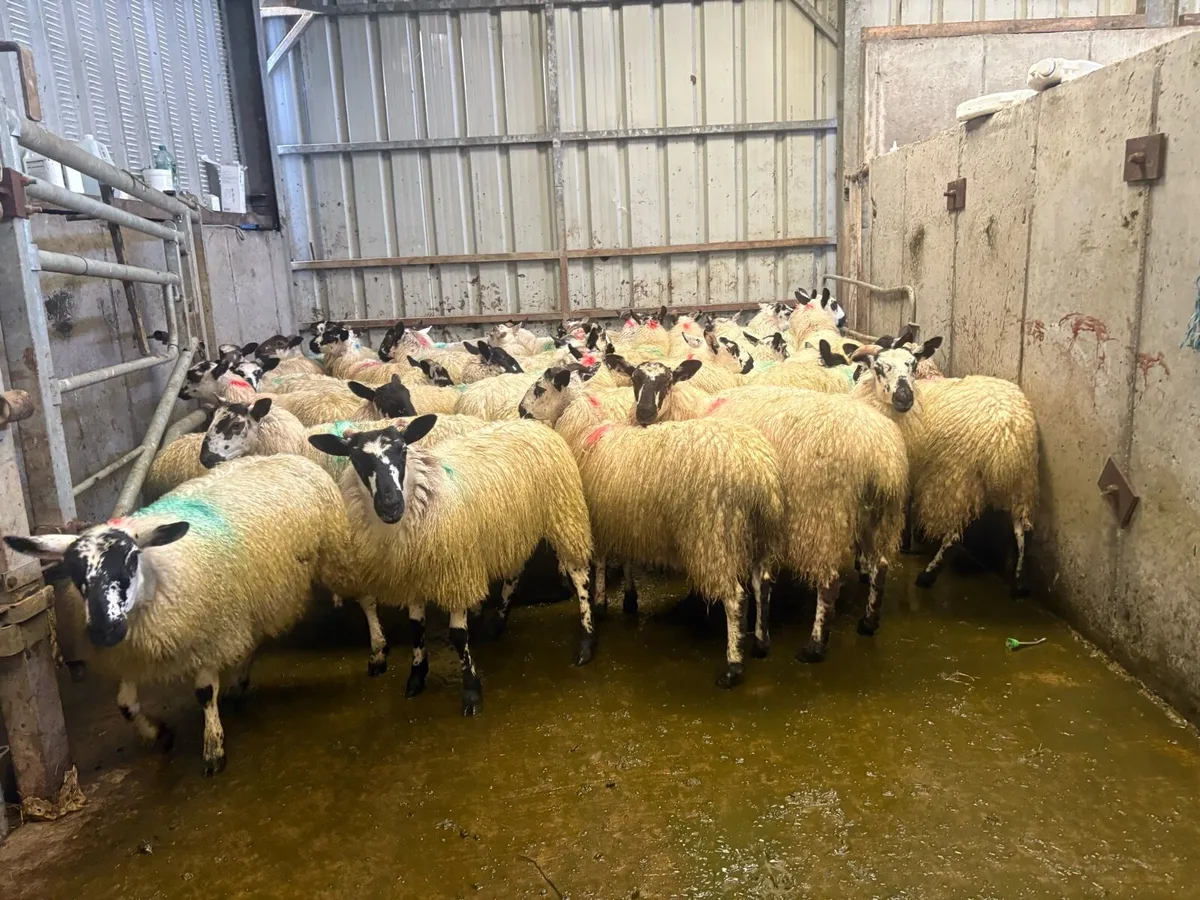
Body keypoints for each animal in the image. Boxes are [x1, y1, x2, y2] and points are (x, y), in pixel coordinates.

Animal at [5, 454, 358, 775]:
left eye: (131, 559)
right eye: (74, 570)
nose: (104, 632)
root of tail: (284, 455)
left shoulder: (209, 633)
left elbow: (204, 693)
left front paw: (213, 748)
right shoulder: (130, 652)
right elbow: (125, 704)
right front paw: (156, 733)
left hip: (330, 556)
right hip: (252, 597)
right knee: (249, 639)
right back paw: (239, 681)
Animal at [308, 417, 594, 715]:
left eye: (403, 450)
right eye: (356, 458)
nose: (390, 504)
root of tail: (529, 422)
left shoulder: (457, 570)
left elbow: (458, 635)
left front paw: (471, 692)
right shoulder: (412, 574)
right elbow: (416, 627)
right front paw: (416, 675)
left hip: (564, 512)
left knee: (580, 575)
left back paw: (586, 642)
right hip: (513, 529)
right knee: (514, 571)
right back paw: (498, 621)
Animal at [552, 394, 783, 686]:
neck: (589, 432)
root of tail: (759, 471)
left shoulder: (598, 521)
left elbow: (599, 564)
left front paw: (600, 605)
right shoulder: (624, 521)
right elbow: (622, 560)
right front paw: (625, 599)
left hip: (714, 535)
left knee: (734, 598)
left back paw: (733, 666)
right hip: (760, 535)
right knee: (761, 583)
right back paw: (761, 644)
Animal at [851, 337, 1038, 595]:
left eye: (912, 365)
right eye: (879, 368)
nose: (904, 398)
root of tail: (1005, 432)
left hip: (956, 476)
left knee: (955, 535)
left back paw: (927, 575)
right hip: (1022, 480)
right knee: (1023, 529)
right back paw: (1019, 583)